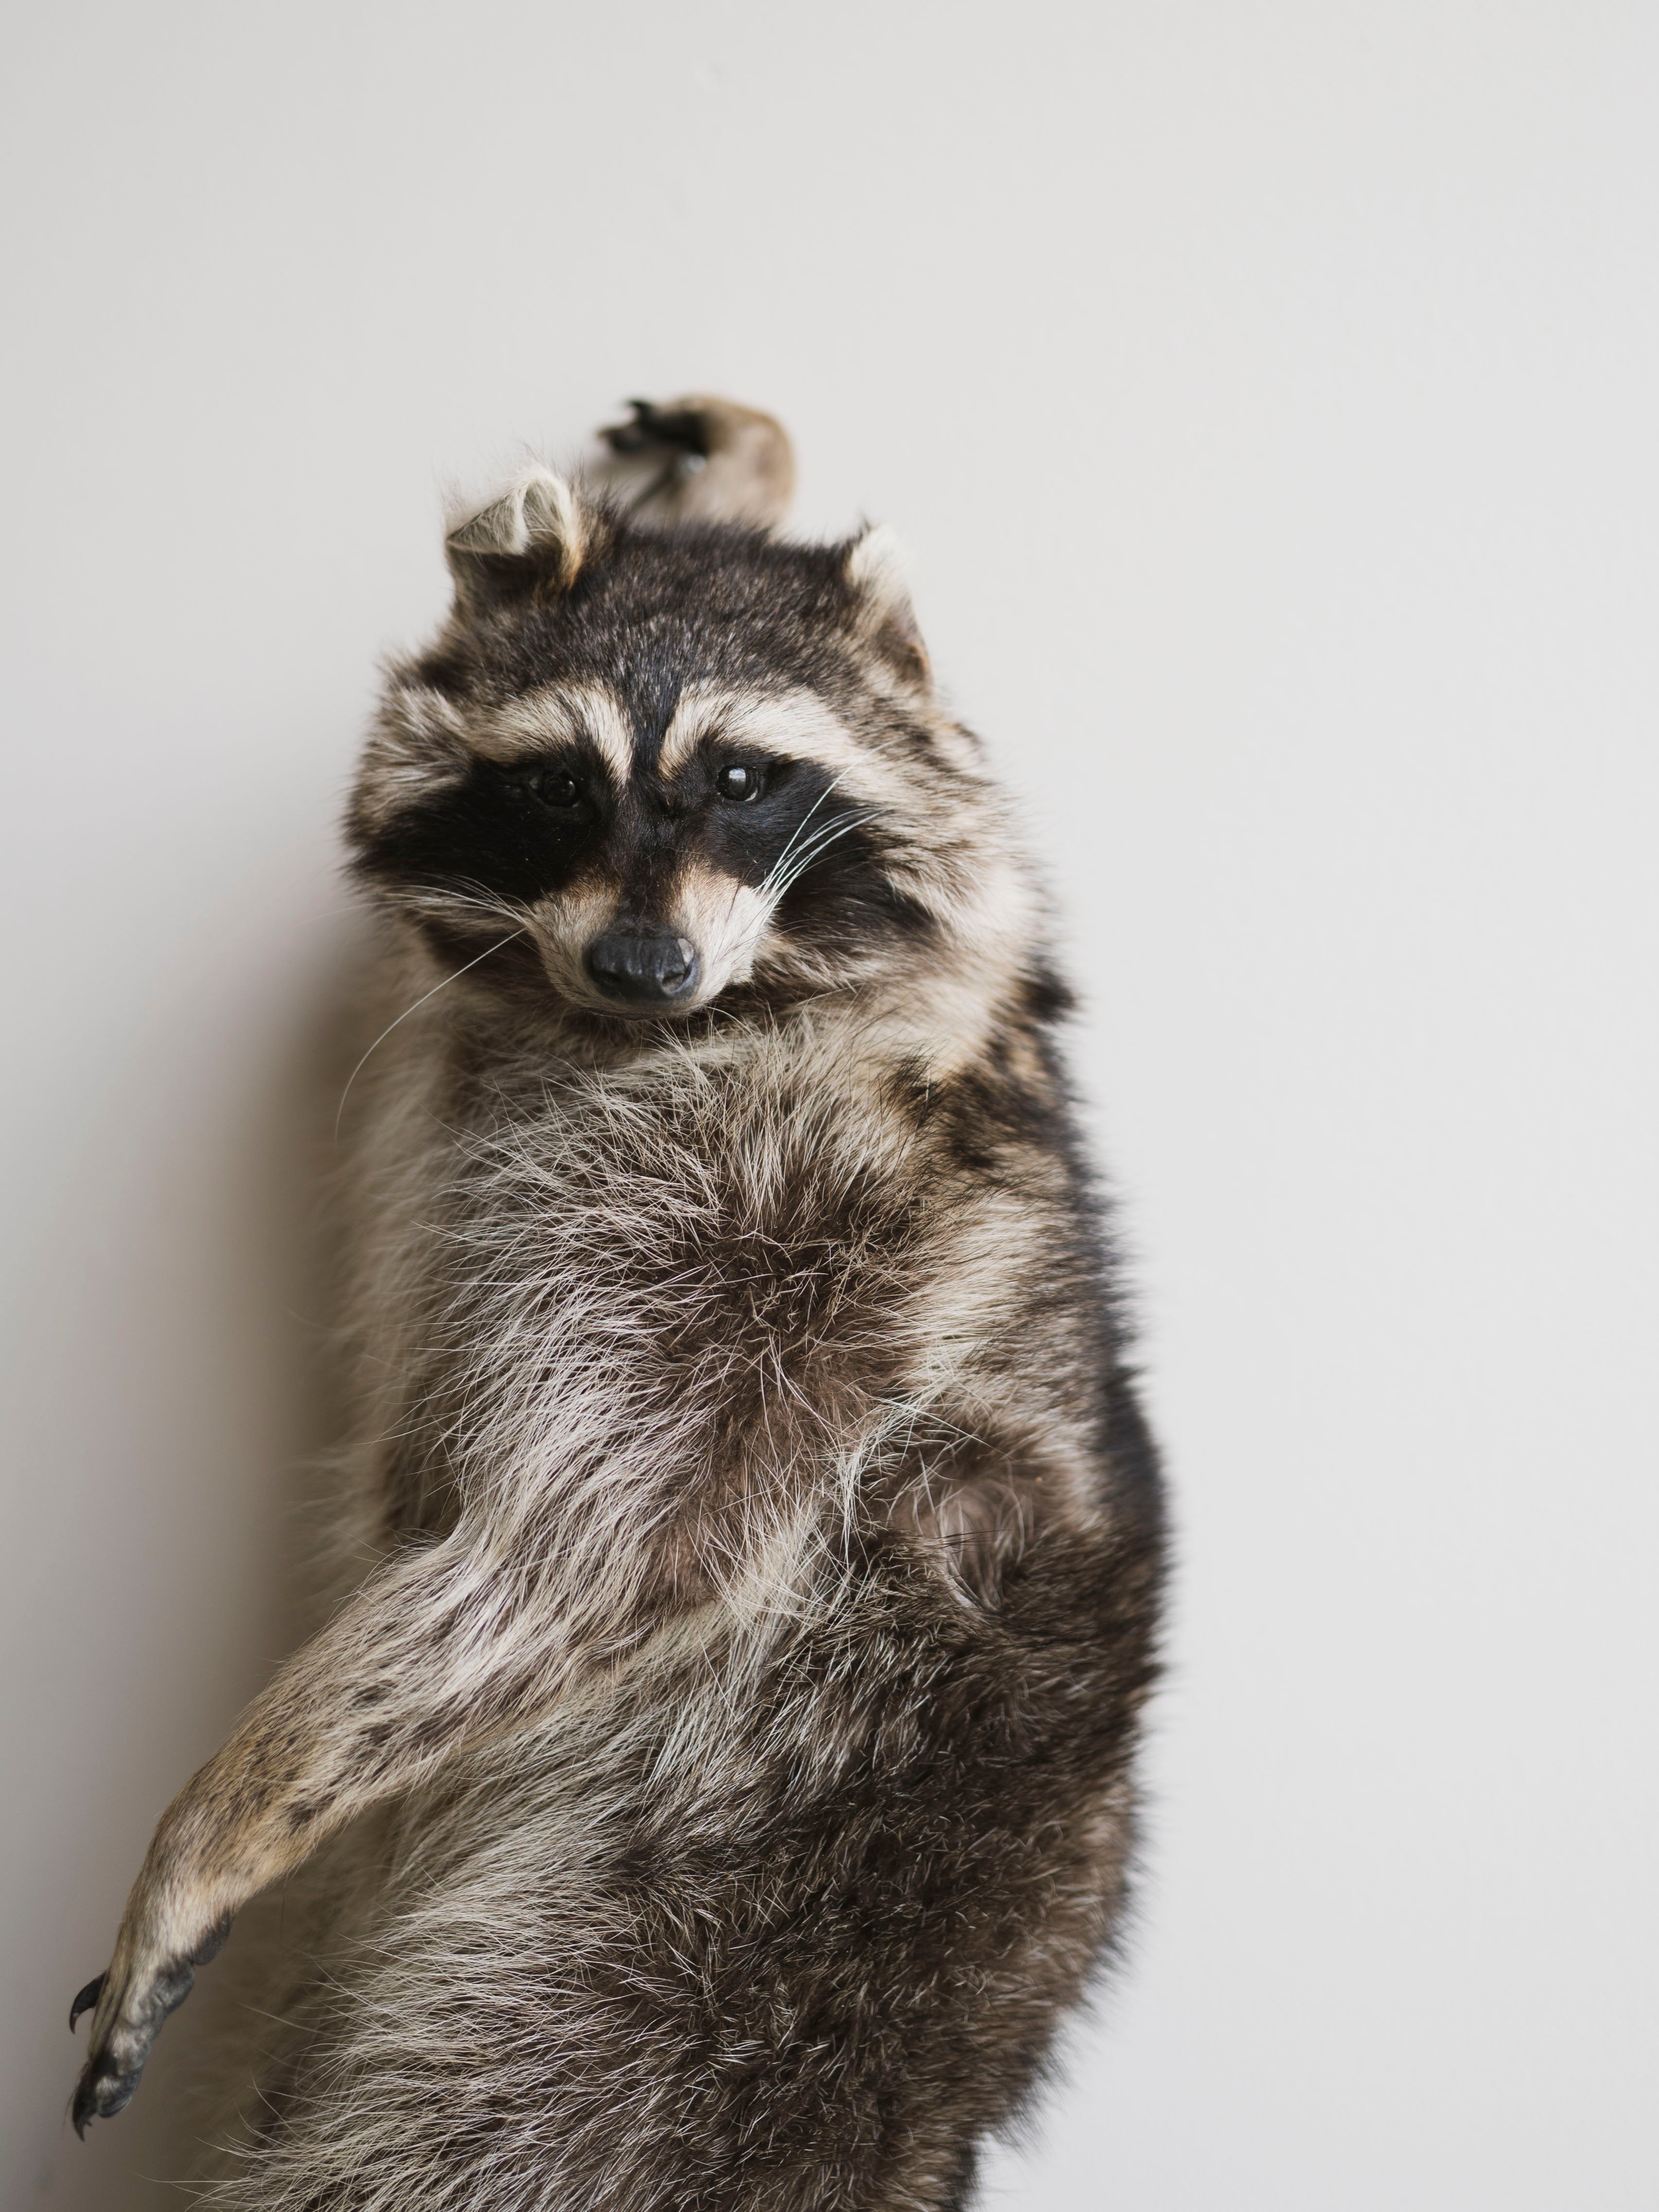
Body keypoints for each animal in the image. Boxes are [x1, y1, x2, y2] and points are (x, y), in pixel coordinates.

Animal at [69, 397, 1167, 2211]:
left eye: (741, 776)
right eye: (556, 786)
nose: (644, 966)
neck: (634, 1019)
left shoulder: (803, 1237)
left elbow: (596, 1543)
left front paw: (232, 1808)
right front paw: (733, 467)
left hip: (722, 1955)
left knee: (484, 2130)